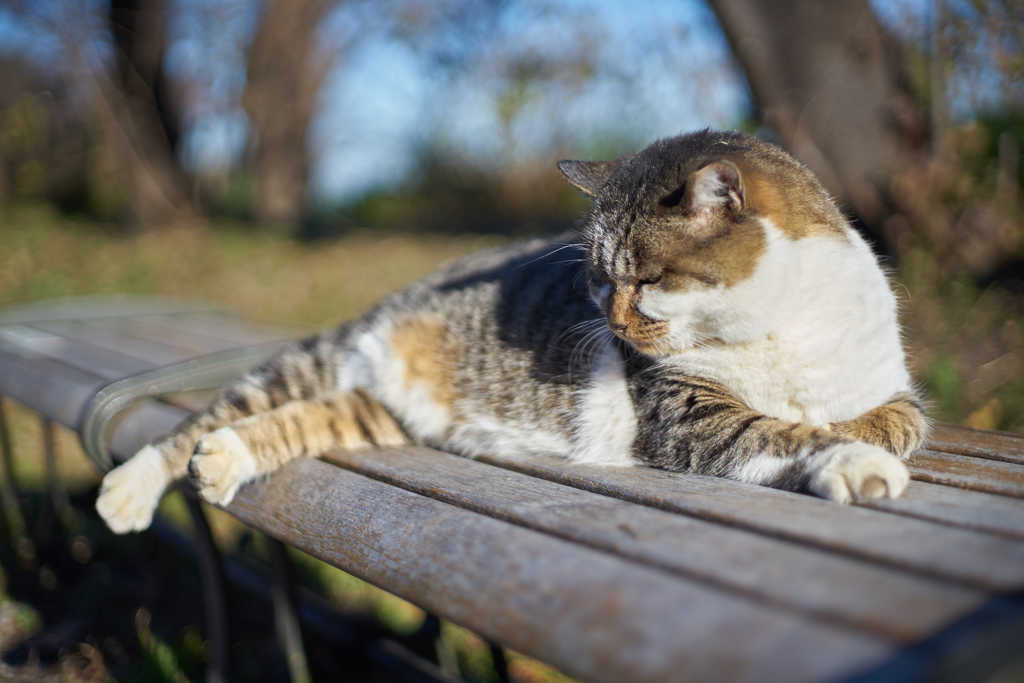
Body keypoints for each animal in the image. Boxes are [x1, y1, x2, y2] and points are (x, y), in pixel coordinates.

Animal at [96, 127, 929, 532]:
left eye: (644, 279)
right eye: (598, 277)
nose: (608, 319)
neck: (780, 333)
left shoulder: (895, 387)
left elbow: (898, 418)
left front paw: (859, 433)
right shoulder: (690, 416)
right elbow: (782, 432)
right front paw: (850, 460)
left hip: (376, 408)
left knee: (302, 420)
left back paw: (224, 461)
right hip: (321, 357)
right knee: (210, 416)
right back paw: (133, 488)